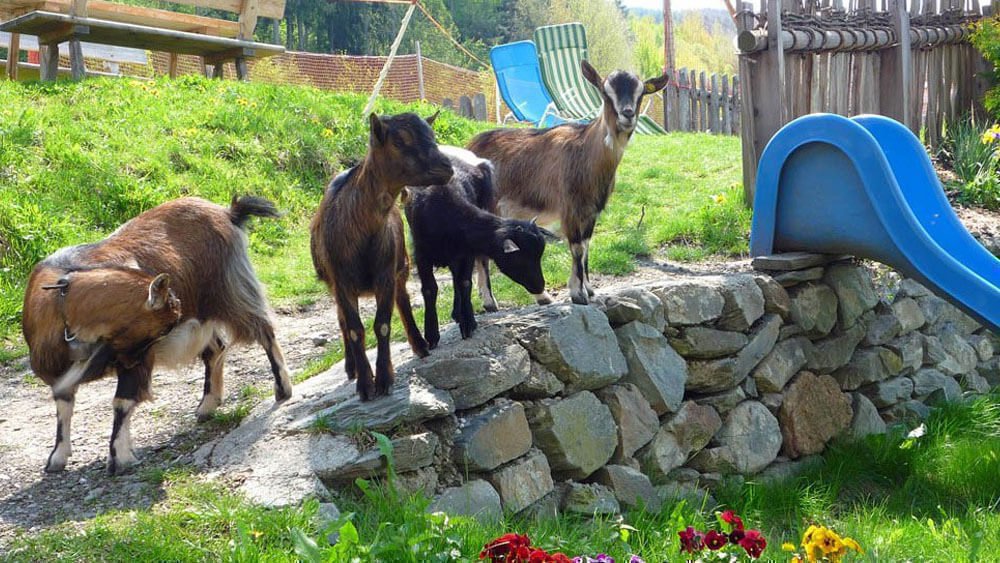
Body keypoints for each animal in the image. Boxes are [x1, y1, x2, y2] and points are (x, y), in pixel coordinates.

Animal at [22, 196, 292, 474]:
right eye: (165, 327)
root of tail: (227, 212)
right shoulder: (59, 373)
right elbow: (63, 407)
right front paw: (57, 457)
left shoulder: (138, 361)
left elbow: (122, 401)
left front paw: (120, 457)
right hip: (203, 315)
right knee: (216, 349)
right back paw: (207, 406)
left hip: (229, 291)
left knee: (263, 331)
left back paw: (282, 389)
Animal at [464, 61, 668, 306]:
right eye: (605, 92)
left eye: (641, 92)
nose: (627, 114)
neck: (586, 152)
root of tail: (469, 146)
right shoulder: (569, 207)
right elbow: (577, 248)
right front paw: (578, 295)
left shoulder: (591, 211)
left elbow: (587, 246)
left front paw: (588, 289)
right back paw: (490, 302)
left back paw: (539, 298)